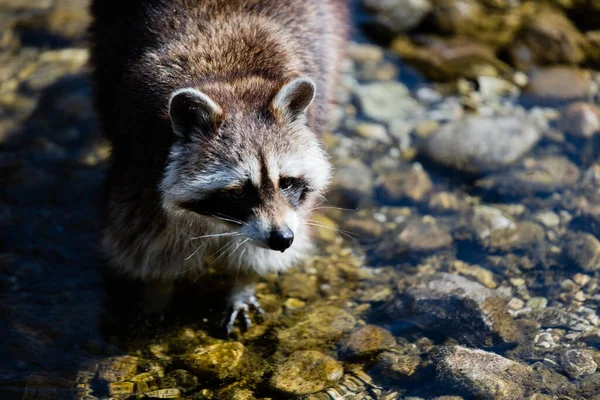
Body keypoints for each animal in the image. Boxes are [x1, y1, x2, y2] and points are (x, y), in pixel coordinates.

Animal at [91, 0, 350, 332]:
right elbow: (144, 234)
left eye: (287, 182)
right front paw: (155, 288)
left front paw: (243, 282)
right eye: (238, 192)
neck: (229, 78)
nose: (281, 239)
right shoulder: (139, 162)